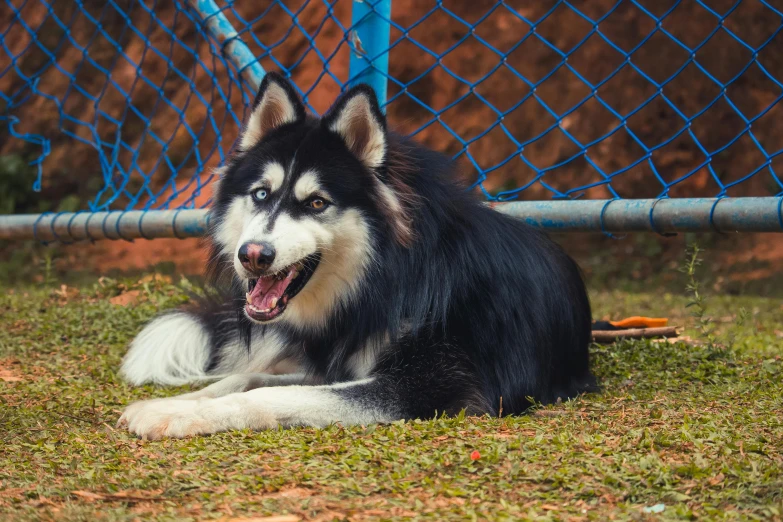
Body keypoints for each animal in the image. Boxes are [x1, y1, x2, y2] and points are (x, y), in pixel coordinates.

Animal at [118, 72, 596, 438]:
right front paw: (177, 403)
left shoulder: (434, 386)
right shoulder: (336, 363)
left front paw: (176, 413)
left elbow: (273, 393)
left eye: (316, 203)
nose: (253, 256)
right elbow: (245, 377)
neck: (386, 280)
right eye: (261, 194)